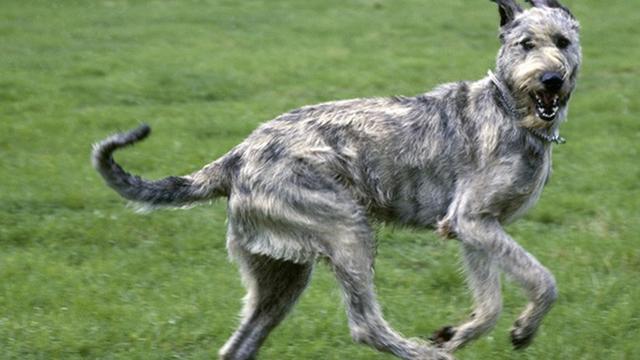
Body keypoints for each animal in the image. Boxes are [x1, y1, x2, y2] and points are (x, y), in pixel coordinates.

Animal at [94, 1, 580, 358]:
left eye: (563, 42)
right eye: (525, 44)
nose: (551, 79)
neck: (510, 110)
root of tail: (234, 158)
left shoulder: (474, 226)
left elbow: (490, 300)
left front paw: (461, 332)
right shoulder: (473, 220)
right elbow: (544, 281)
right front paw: (523, 329)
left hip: (280, 276)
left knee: (239, 343)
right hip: (347, 230)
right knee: (364, 325)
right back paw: (423, 353)